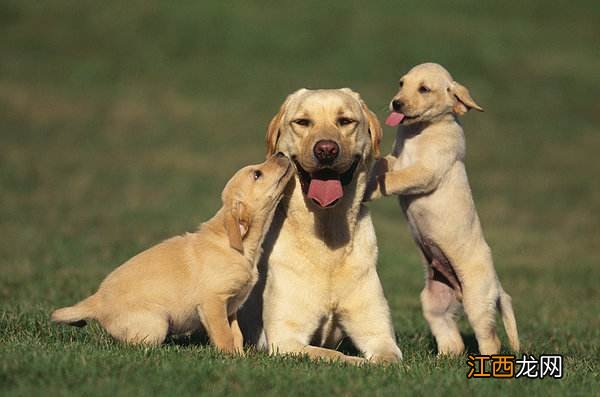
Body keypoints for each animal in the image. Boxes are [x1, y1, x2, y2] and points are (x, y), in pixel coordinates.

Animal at [51, 153, 292, 352]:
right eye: (257, 174)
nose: (281, 153)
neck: (237, 245)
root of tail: (97, 301)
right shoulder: (213, 302)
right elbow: (224, 335)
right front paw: (230, 357)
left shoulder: (231, 307)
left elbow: (236, 334)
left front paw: (241, 356)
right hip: (156, 324)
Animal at [240, 88, 404, 364]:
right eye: (302, 122)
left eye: (345, 121)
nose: (326, 150)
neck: (328, 240)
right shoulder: (286, 341)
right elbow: (336, 356)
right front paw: (359, 362)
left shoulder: (379, 336)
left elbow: (387, 359)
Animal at [366, 62, 520, 356]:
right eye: (401, 83)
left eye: (424, 89)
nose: (396, 103)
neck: (419, 130)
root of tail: (496, 284)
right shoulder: (396, 158)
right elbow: (384, 164)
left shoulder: (425, 170)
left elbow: (394, 179)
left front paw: (370, 186)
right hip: (434, 301)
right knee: (453, 339)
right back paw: (443, 358)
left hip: (476, 300)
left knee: (490, 339)